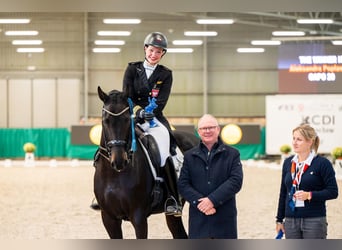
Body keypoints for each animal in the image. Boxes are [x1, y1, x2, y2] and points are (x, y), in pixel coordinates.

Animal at [94, 87, 200, 239]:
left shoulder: (139, 217)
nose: (119, 161)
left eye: (128, 119)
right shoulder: (109, 218)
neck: (115, 176)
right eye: (105, 120)